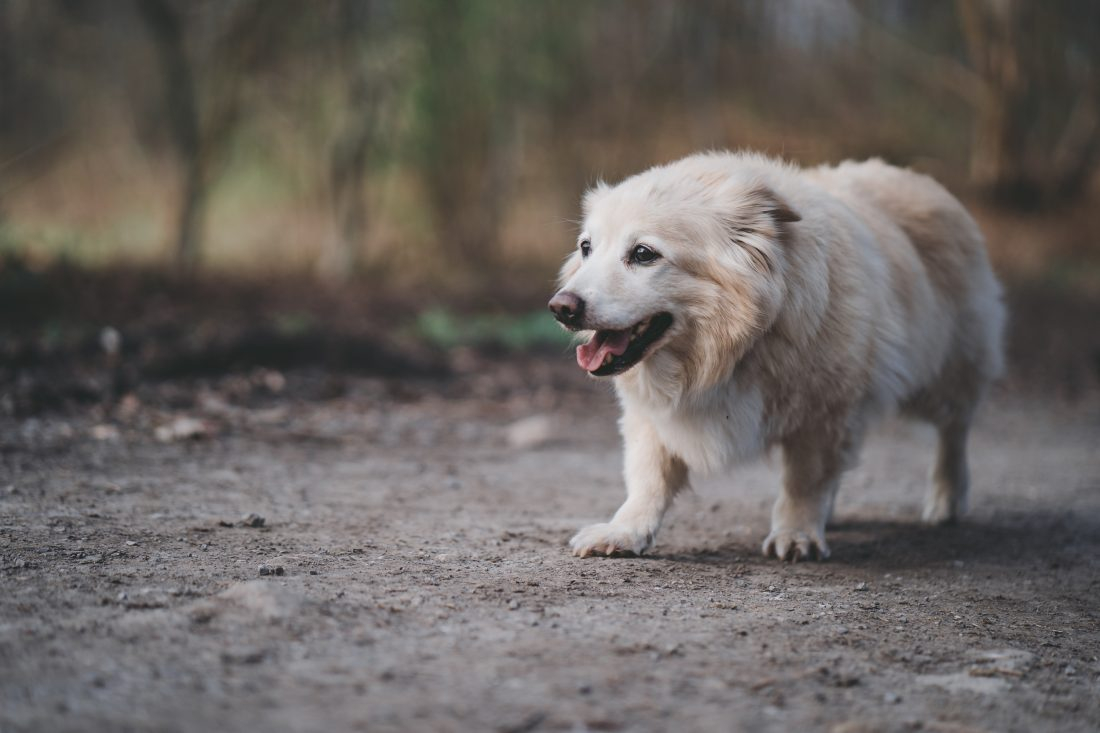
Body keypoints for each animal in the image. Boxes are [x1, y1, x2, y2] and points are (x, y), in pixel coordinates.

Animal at [550, 149, 1007, 559]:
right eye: (587, 247)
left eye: (643, 254)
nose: (561, 307)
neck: (732, 348)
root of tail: (917, 178)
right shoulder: (653, 415)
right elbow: (648, 477)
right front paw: (625, 531)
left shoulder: (824, 413)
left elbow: (803, 480)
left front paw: (797, 534)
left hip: (947, 375)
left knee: (954, 431)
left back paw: (947, 499)